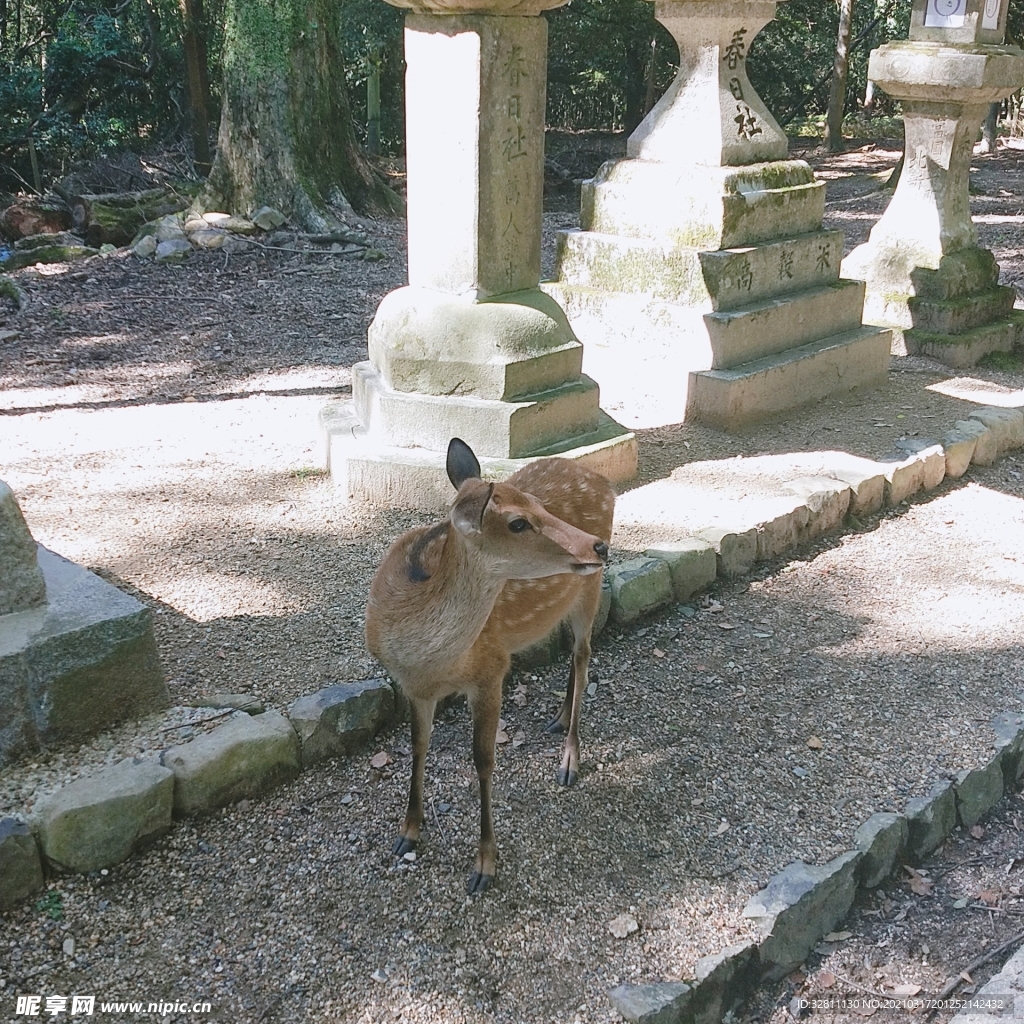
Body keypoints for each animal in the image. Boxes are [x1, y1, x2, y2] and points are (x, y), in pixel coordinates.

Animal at [364, 436, 610, 892]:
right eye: (518, 522)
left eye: (539, 506)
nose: (598, 545)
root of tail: (602, 479)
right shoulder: (413, 688)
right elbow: (418, 745)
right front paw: (408, 831)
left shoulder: (492, 668)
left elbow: (482, 760)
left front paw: (484, 865)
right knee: (573, 652)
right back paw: (557, 718)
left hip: (591, 586)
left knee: (584, 654)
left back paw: (569, 760)